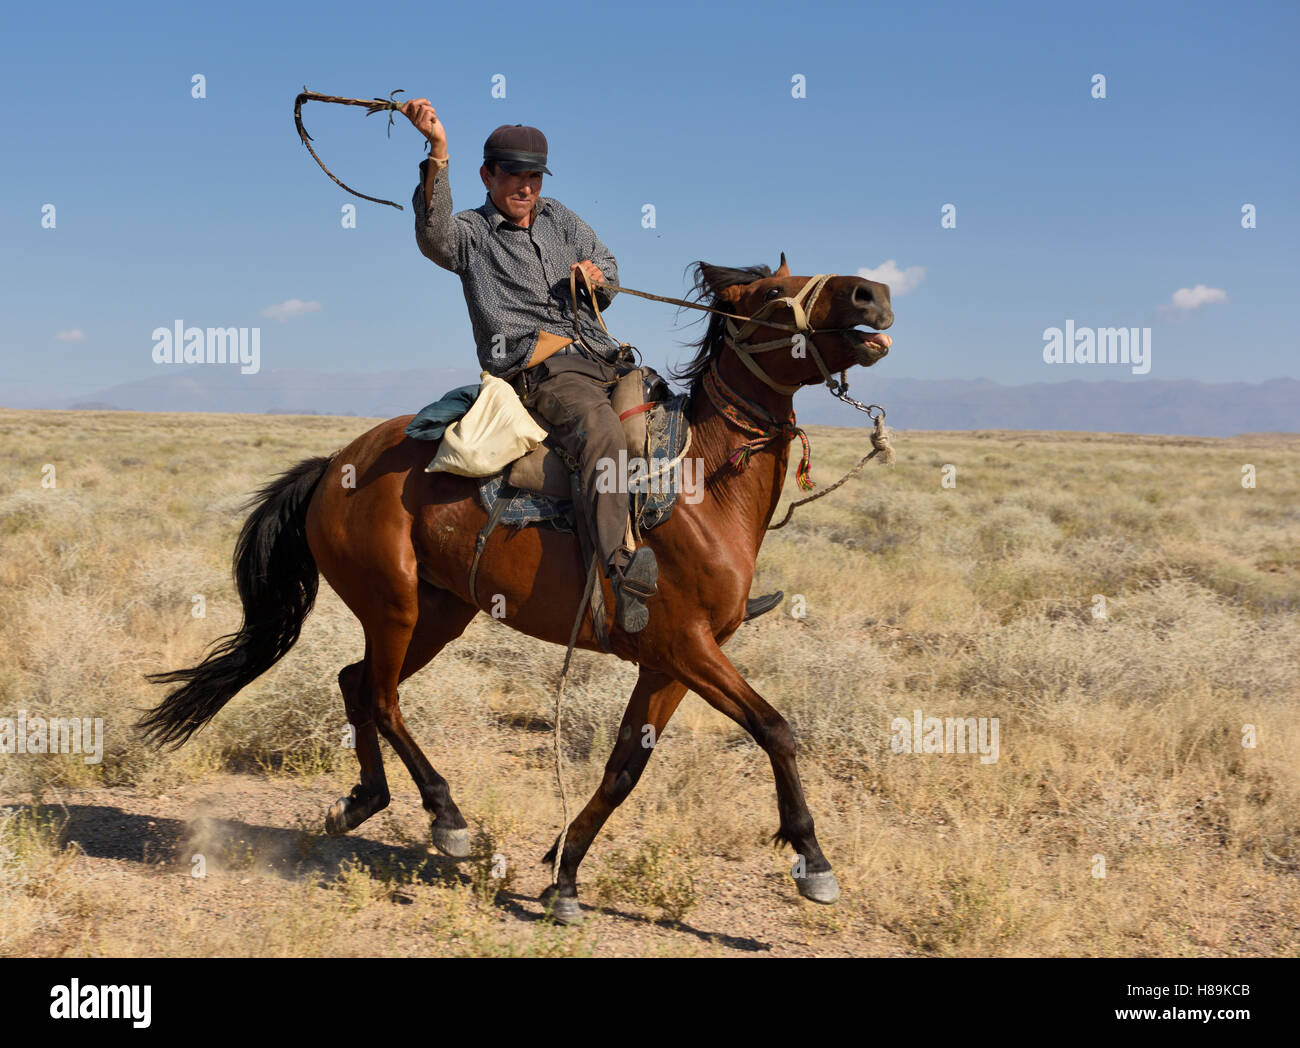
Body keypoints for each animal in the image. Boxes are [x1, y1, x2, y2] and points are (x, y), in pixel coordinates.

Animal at [139, 256, 894, 925]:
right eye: (773, 293)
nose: (874, 293)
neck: (698, 483)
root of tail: (333, 466)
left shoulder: (668, 664)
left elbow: (624, 770)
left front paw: (564, 875)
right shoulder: (688, 646)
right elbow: (776, 729)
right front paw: (814, 862)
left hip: (441, 614)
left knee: (355, 682)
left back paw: (360, 803)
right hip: (394, 605)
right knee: (380, 697)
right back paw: (445, 816)